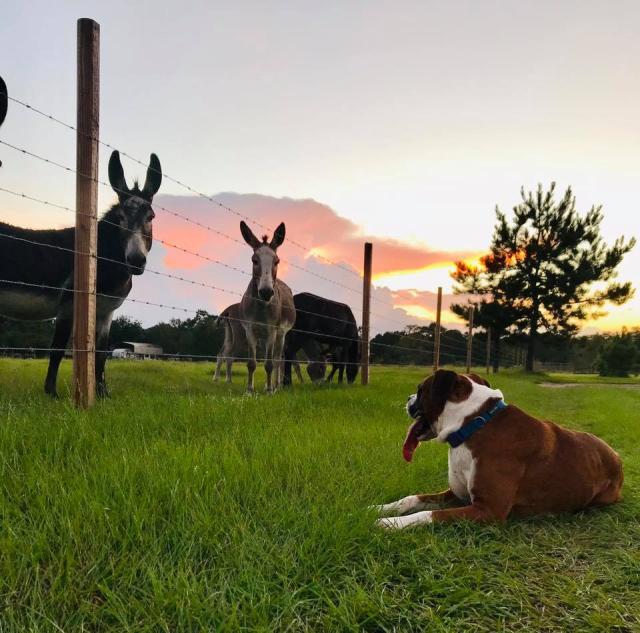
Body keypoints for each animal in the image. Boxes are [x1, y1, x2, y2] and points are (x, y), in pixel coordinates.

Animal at [239, 221, 296, 390]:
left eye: (276, 262)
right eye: (254, 261)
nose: (265, 292)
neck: (260, 307)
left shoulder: (272, 330)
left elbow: (270, 364)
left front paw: (270, 390)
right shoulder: (250, 329)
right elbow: (252, 363)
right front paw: (249, 390)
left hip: (281, 334)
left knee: (277, 359)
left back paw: (276, 386)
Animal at [372, 368, 624, 524]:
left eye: (420, 389)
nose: (408, 398)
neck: (473, 423)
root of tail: (616, 455)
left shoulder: (488, 511)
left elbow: (428, 514)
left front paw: (389, 523)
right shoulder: (456, 494)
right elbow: (412, 499)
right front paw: (380, 508)